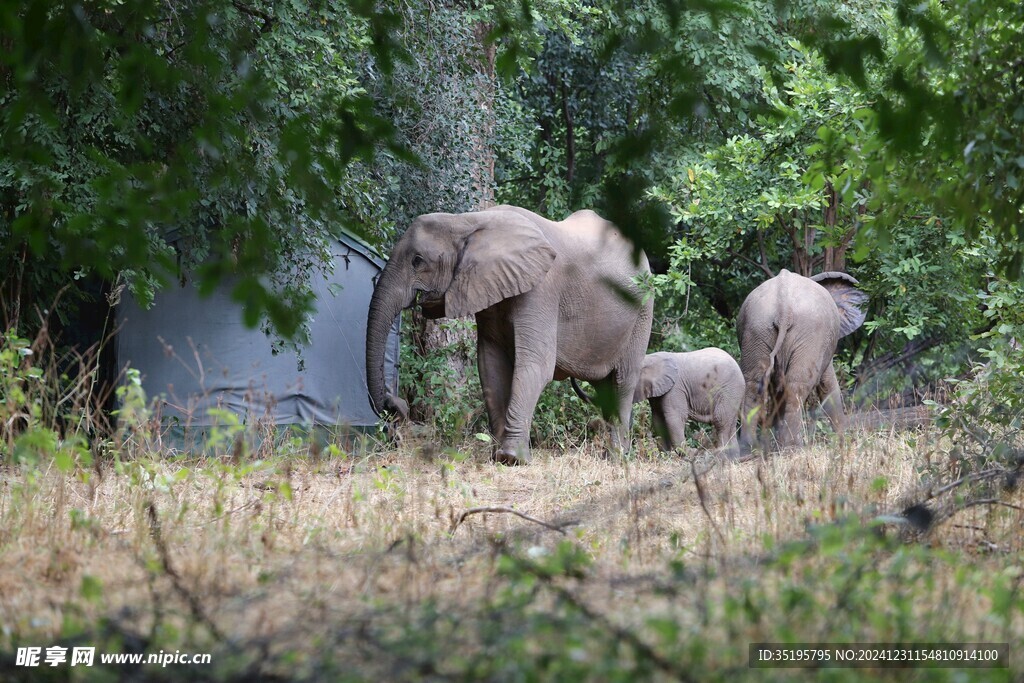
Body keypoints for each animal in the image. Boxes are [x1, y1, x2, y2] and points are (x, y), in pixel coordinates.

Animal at [365, 205, 654, 465]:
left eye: (418, 261)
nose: (396, 406)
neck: (467, 221)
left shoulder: (542, 289)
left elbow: (535, 366)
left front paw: (512, 458)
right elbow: (490, 365)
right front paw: (496, 456)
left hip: (643, 311)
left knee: (622, 381)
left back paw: (617, 459)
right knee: (604, 386)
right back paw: (612, 456)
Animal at [736, 269, 868, 453]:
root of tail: (783, 306)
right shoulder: (822, 344)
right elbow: (829, 386)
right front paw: (844, 441)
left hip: (756, 329)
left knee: (753, 382)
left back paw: (749, 449)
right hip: (810, 332)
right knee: (797, 384)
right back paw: (793, 447)